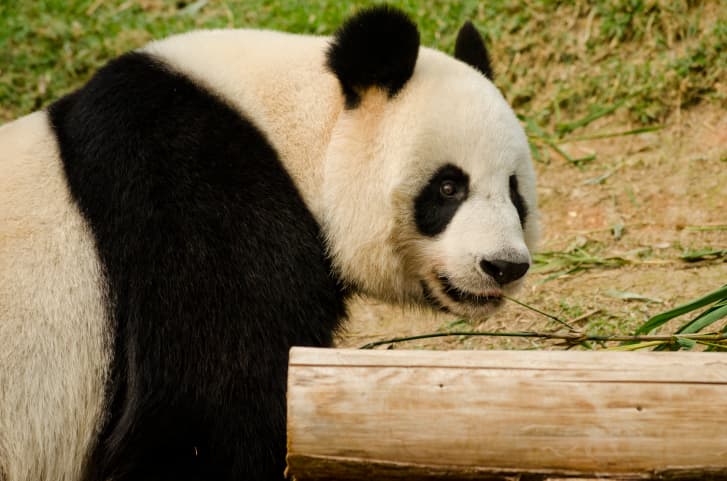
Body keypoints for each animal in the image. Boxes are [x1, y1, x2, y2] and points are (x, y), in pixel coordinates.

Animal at [0, 5, 537, 481]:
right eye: (448, 187)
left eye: (515, 191)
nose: (504, 266)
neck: (289, 132)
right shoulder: (197, 208)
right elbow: (208, 411)